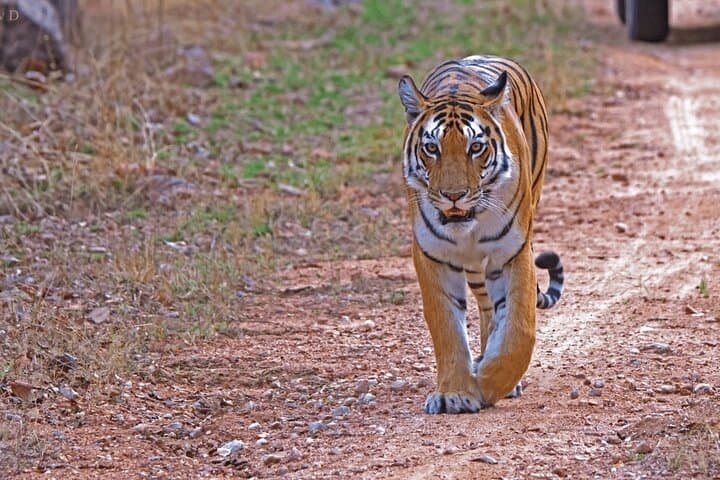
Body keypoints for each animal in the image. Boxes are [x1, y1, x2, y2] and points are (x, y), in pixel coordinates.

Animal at [397, 54, 564, 414]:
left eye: (475, 147)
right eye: (431, 148)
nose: (454, 195)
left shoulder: (514, 252)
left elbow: (519, 329)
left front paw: (490, 383)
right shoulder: (431, 255)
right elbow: (446, 328)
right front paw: (455, 393)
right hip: (475, 268)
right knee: (487, 309)